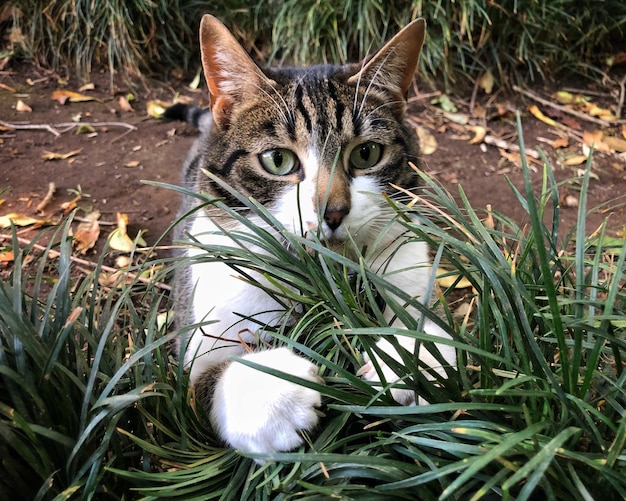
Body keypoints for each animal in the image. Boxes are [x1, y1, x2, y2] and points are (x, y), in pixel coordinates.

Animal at [166, 13, 456, 458]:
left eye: (366, 154)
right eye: (278, 160)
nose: (332, 211)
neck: (322, 275)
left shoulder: (409, 262)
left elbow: (433, 333)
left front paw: (405, 360)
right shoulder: (202, 323)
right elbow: (204, 380)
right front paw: (274, 394)